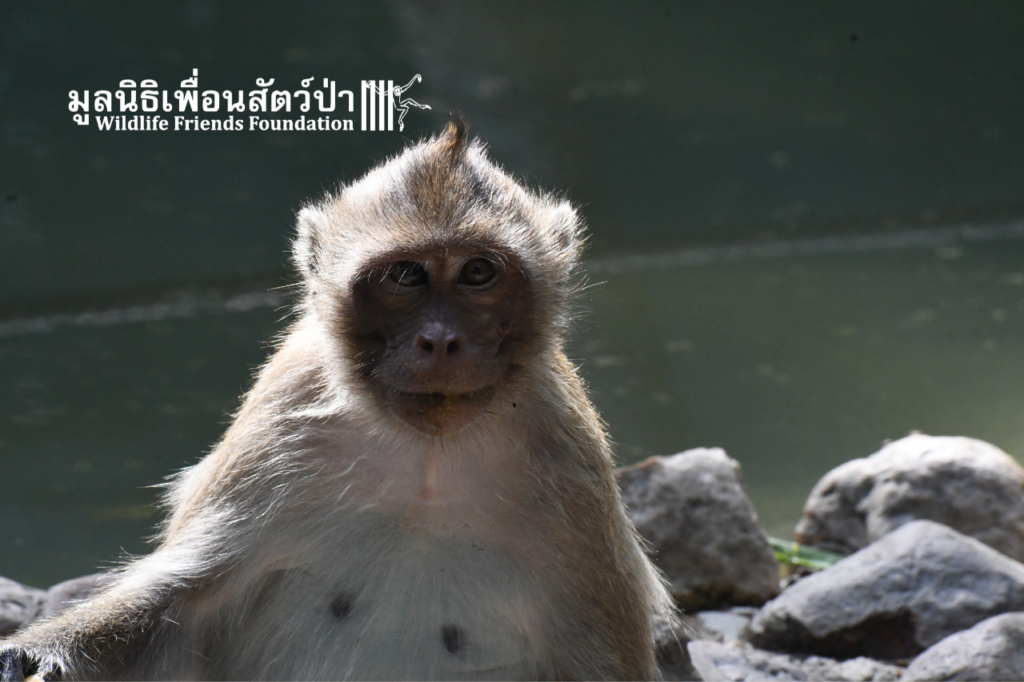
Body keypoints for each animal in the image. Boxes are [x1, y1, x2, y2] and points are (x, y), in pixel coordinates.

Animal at [0, 115, 674, 681]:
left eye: (479, 272)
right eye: (406, 275)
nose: (441, 340)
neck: (427, 460)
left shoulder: (569, 459)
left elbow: (598, 659)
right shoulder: (281, 416)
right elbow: (177, 603)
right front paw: (30, 654)